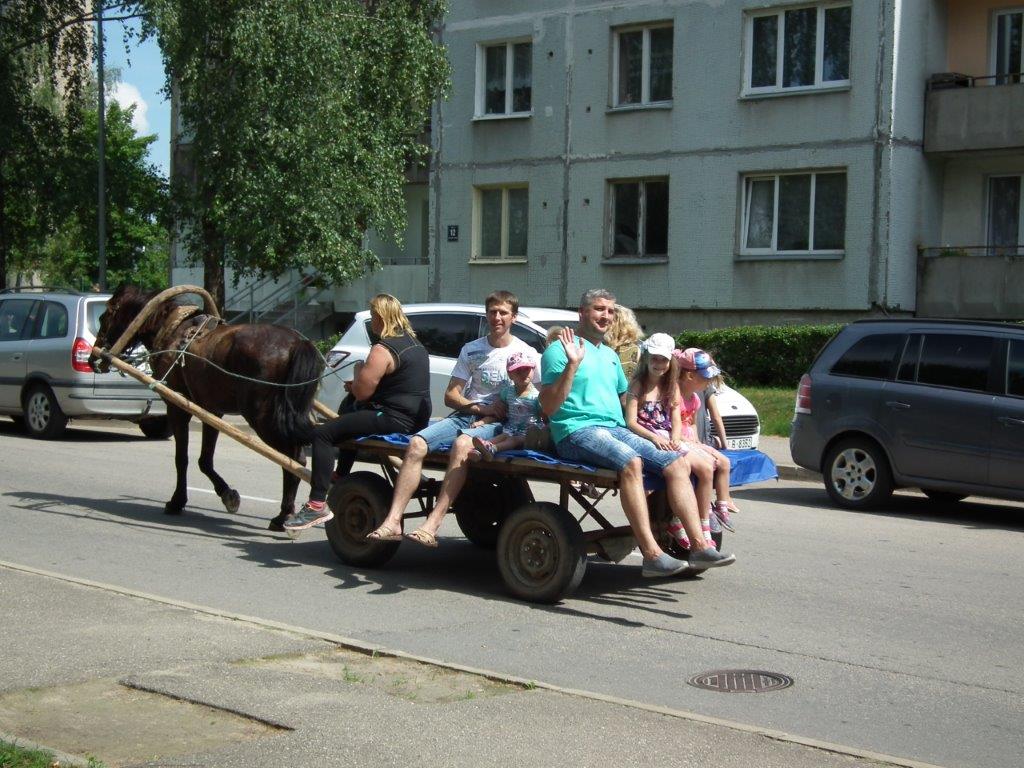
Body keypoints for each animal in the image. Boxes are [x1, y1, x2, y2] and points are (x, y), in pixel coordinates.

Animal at [91, 284, 321, 531]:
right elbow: (205, 459)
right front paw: (227, 495)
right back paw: (286, 514)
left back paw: (283, 516)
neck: (173, 331)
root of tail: (297, 342)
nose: (92, 357)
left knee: (293, 460)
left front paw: (177, 501)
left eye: (104, 316)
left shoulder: (178, 407)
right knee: (296, 458)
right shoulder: (212, 410)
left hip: (263, 419)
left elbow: (182, 458)